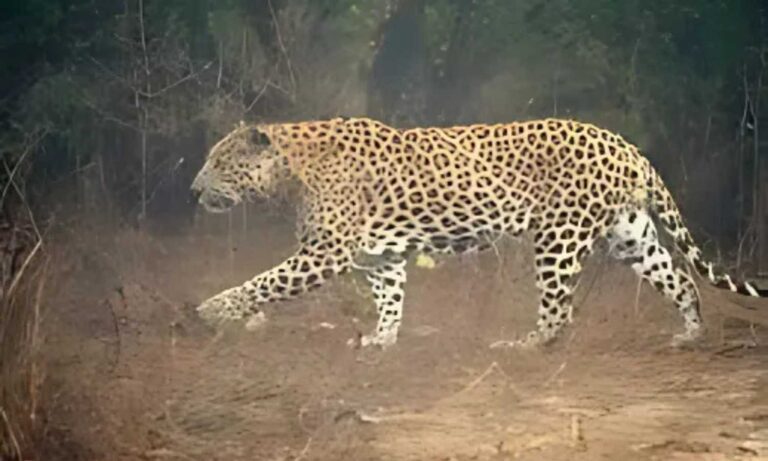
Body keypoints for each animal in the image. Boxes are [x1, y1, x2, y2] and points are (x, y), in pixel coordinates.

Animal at [190, 117, 768, 349]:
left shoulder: (324, 253)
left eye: (218, 162)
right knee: (682, 281)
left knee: (558, 310)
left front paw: (212, 309)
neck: (289, 171)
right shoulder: (381, 256)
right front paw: (384, 338)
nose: (194, 190)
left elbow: (263, 282)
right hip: (631, 235)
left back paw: (524, 345)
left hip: (558, 236)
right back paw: (690, 334)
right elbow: (390, 298)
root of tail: (629, 148)